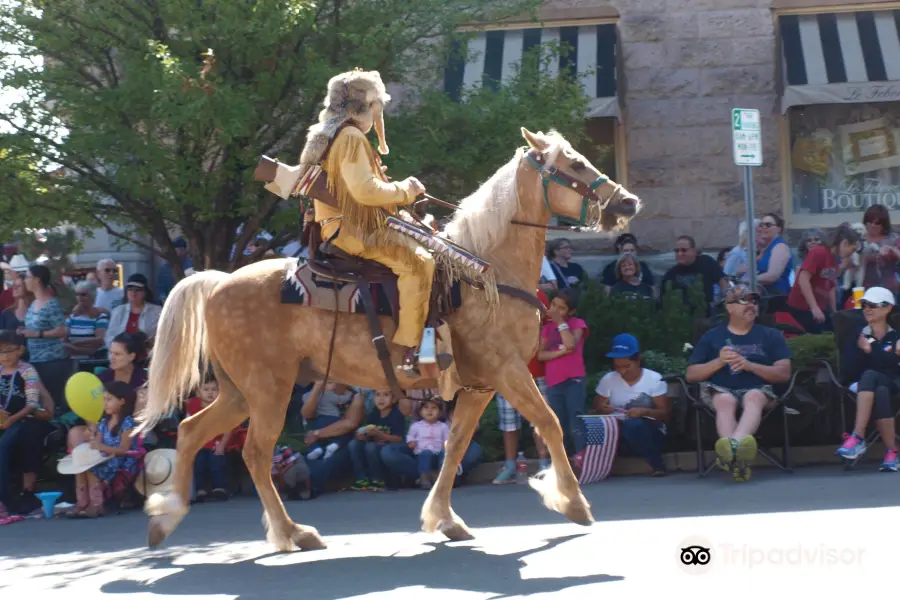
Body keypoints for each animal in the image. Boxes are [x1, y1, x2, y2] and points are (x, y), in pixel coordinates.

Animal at [139, 129, 640, 552]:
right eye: (574, 164)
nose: (628, 202)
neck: (488, 273)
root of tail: (219, 281)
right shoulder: (509, 371)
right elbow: (551, 424)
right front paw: (573, 502)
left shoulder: (480, 385)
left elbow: (455, 444)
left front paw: (444, 518)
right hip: (268, 390)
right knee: (256, 454)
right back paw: (292, 532)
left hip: (239, 392)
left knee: (191, 431)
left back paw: (166, 518)